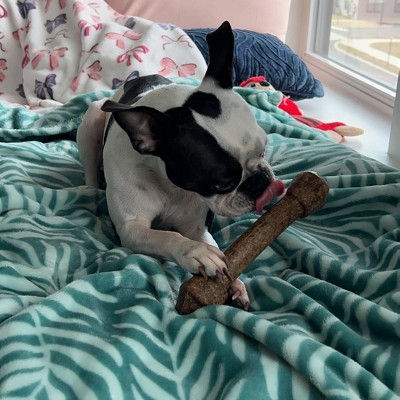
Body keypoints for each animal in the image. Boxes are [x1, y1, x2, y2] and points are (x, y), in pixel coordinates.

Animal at [77, 21, 285, 309]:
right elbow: (167, 237)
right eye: (222, 183)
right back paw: (90, 188)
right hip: (91, 120)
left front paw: (233, 281)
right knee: (89, 166)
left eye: (264, 148)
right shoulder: (131, 229)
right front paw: (195, 252)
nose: (260, 182)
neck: (169, 184)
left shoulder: (196, 226)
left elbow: (219, 249)